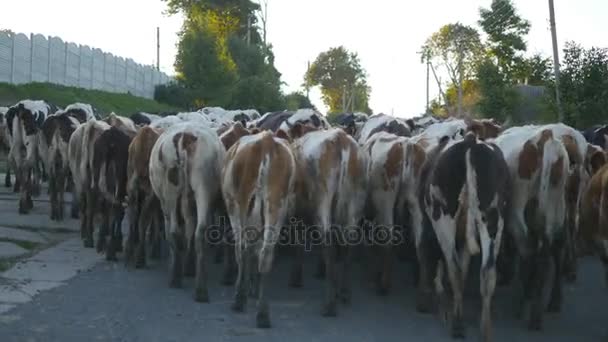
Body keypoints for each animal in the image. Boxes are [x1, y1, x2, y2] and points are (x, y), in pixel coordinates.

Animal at [148, 121, 224, 302]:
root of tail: (184, 136)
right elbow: (190, 227)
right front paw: (189, 265)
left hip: (170, 191)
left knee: (174, 231)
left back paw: (175, 278)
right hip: (203, 186)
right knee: (199, 231)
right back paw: (200, 289)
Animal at [221, 130, 296, 328]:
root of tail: (266, 141)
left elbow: (244, 251)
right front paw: (254, 288)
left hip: (241, 205)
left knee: (242, 249)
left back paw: (239, 299)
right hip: (276, 207)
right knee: (265, 253)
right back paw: (263, 313)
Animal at [418, 132, 512, 340]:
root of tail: (470, 141)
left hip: (444, 217)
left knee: (454, 268)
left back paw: (458, 323)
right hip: (493, 218)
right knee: (487, 272)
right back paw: (485, 330)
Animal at [492, 126, 572, 332]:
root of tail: (545, 136)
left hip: (518, 215)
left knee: (529, 252)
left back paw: (524, 305)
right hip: (557, 211)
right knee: (554, 251)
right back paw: (551, 302)